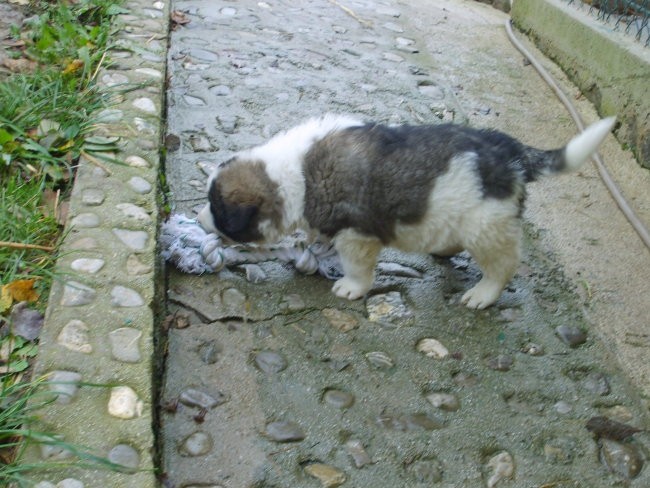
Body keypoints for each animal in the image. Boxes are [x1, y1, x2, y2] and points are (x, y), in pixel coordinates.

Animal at [196, 113, 612, 308]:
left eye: (216, 207)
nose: (198, 219)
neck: (296, 173)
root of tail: (513, 153)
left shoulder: (357, 234)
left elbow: (358, 265)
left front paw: (351, 287)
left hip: (487, 226)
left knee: (502, 264)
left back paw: (483, 294)